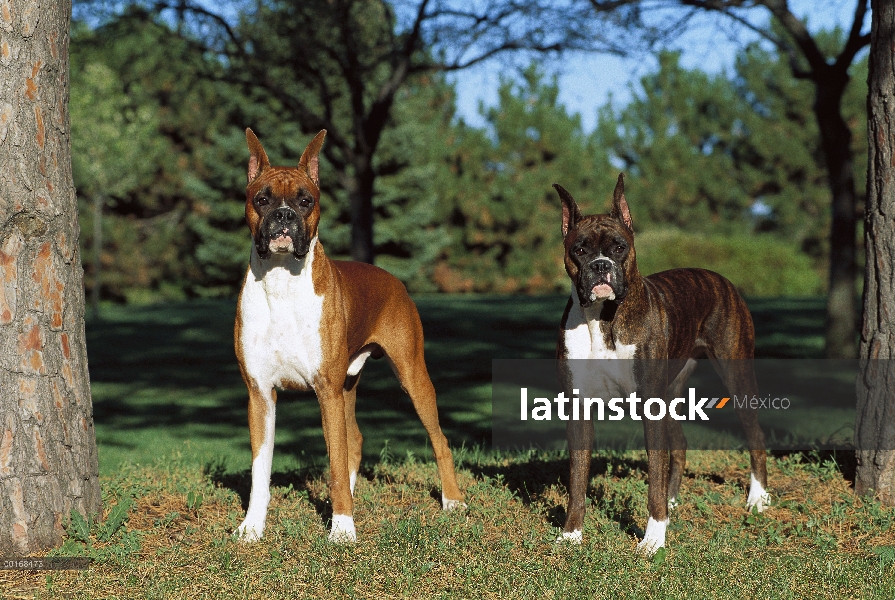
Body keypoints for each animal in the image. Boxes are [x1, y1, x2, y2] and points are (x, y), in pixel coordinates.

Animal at [234, 129, 466, 540]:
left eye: (305, 201)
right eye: (261, 199)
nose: (284, 215)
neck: (281, 281)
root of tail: (394, 280)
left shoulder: (326, 390)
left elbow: (337, 465)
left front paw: (342, 529)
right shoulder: (260, 394)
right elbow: (261, 469)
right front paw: (252, 526)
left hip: (410, 376)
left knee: (438, 440)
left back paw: (451, 500)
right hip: (348, 385)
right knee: (353, 441)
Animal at [552, 176, 768, 556]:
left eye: (619, 247)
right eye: (579, 250)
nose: (600, 266)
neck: (603, 319)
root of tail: (720, 278)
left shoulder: (649, 408)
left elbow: (653, 475)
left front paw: (653, 539)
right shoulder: (578, 407)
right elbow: (577, 480)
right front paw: (572, 534)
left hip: (736, 374)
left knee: (754, 435)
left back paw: (757, 499)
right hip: (670, 393)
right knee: (678, 445)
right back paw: (672, 502)